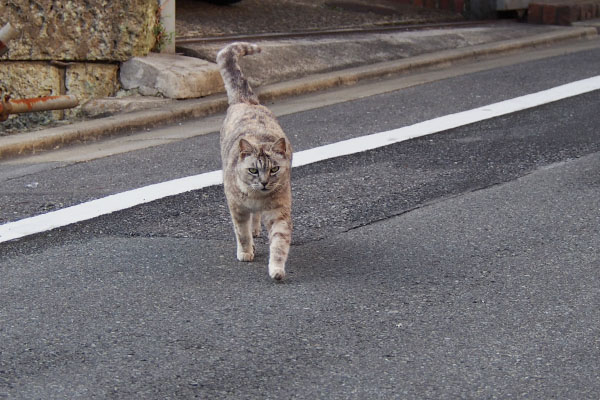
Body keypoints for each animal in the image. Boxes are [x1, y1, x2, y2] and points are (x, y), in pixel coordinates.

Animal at [216, 42, 292, 282]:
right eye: (252, 170)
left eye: (274, 169)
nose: (265, 182)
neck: (257, 198)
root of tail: (246, 101)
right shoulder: (237, 208)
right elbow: (241, 233)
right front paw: (246, 252)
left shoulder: (279, 212)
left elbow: (279, 244)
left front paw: (276, 269)